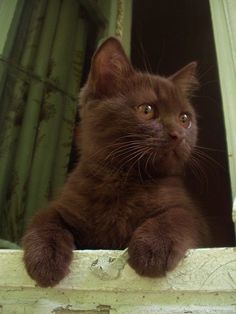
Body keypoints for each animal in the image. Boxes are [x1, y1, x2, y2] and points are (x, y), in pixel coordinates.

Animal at [22, 36, 210, 288]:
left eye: (184, 118)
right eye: (146, 110)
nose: (178, 134)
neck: (123, 177)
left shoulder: (193, 216)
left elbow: (178, 215)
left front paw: (154, 246)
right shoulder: (65, 204)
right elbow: (45, 218)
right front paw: (45, 256)